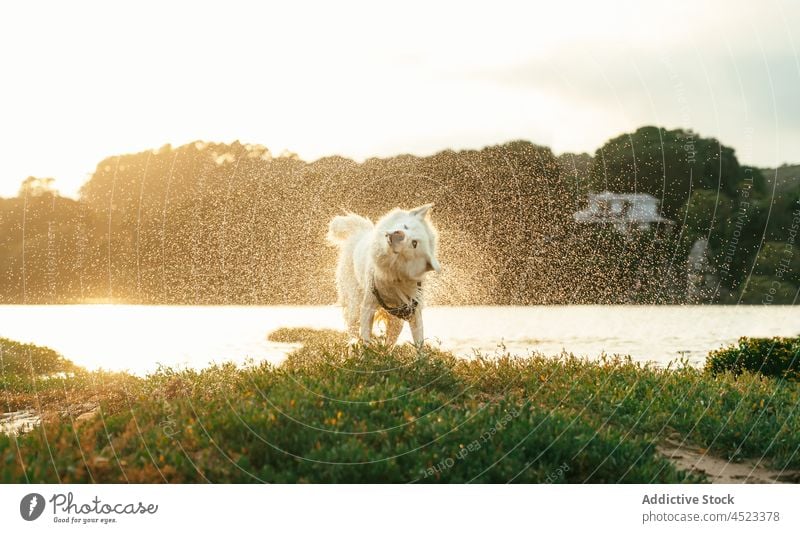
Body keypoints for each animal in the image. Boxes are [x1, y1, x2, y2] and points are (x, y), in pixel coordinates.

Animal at [324, 203, 440, 344]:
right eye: (405, 226)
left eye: (414, 243)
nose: (398, 234)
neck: (392, 273)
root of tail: (360, 231)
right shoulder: (367, 306)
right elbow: (366, 341)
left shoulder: (413, 311)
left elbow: (419, 342)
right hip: (355, 305)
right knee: (353, 332)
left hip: (396, 321)